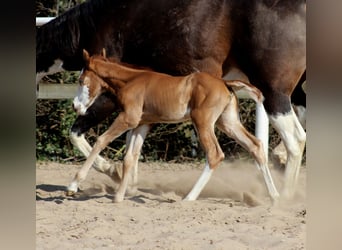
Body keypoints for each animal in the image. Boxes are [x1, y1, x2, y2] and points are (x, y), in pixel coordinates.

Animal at [68, 49, 280, 202]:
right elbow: (130, 157)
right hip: (227, 122)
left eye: (80, 80)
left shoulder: (128, 118)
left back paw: (189, 197)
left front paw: (73, 185)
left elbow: (101, 140)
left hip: (203, 122)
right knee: (255, 146)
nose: (75, 106)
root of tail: (226, 83)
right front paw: (119, 196)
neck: (131, 81)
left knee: (214, 154)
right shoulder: (142, 124)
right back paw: (275, 196)